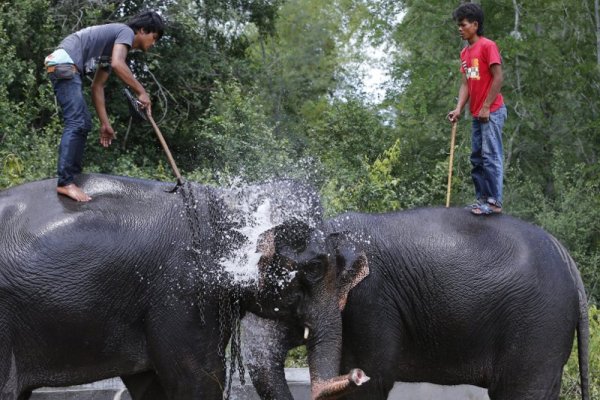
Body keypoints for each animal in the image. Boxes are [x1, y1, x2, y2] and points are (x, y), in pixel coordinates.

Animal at [0, 174, 368, 400]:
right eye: (315, 268)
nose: (359, 375)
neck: (224, 204)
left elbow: (152, 383)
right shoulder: (184, 294)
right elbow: (198, 380)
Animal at [244, 209, 592, 400]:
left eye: (292, 298)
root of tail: (568, 259)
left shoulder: (372, 301)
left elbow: (370, 383)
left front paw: (360, 377)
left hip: (539, 322)